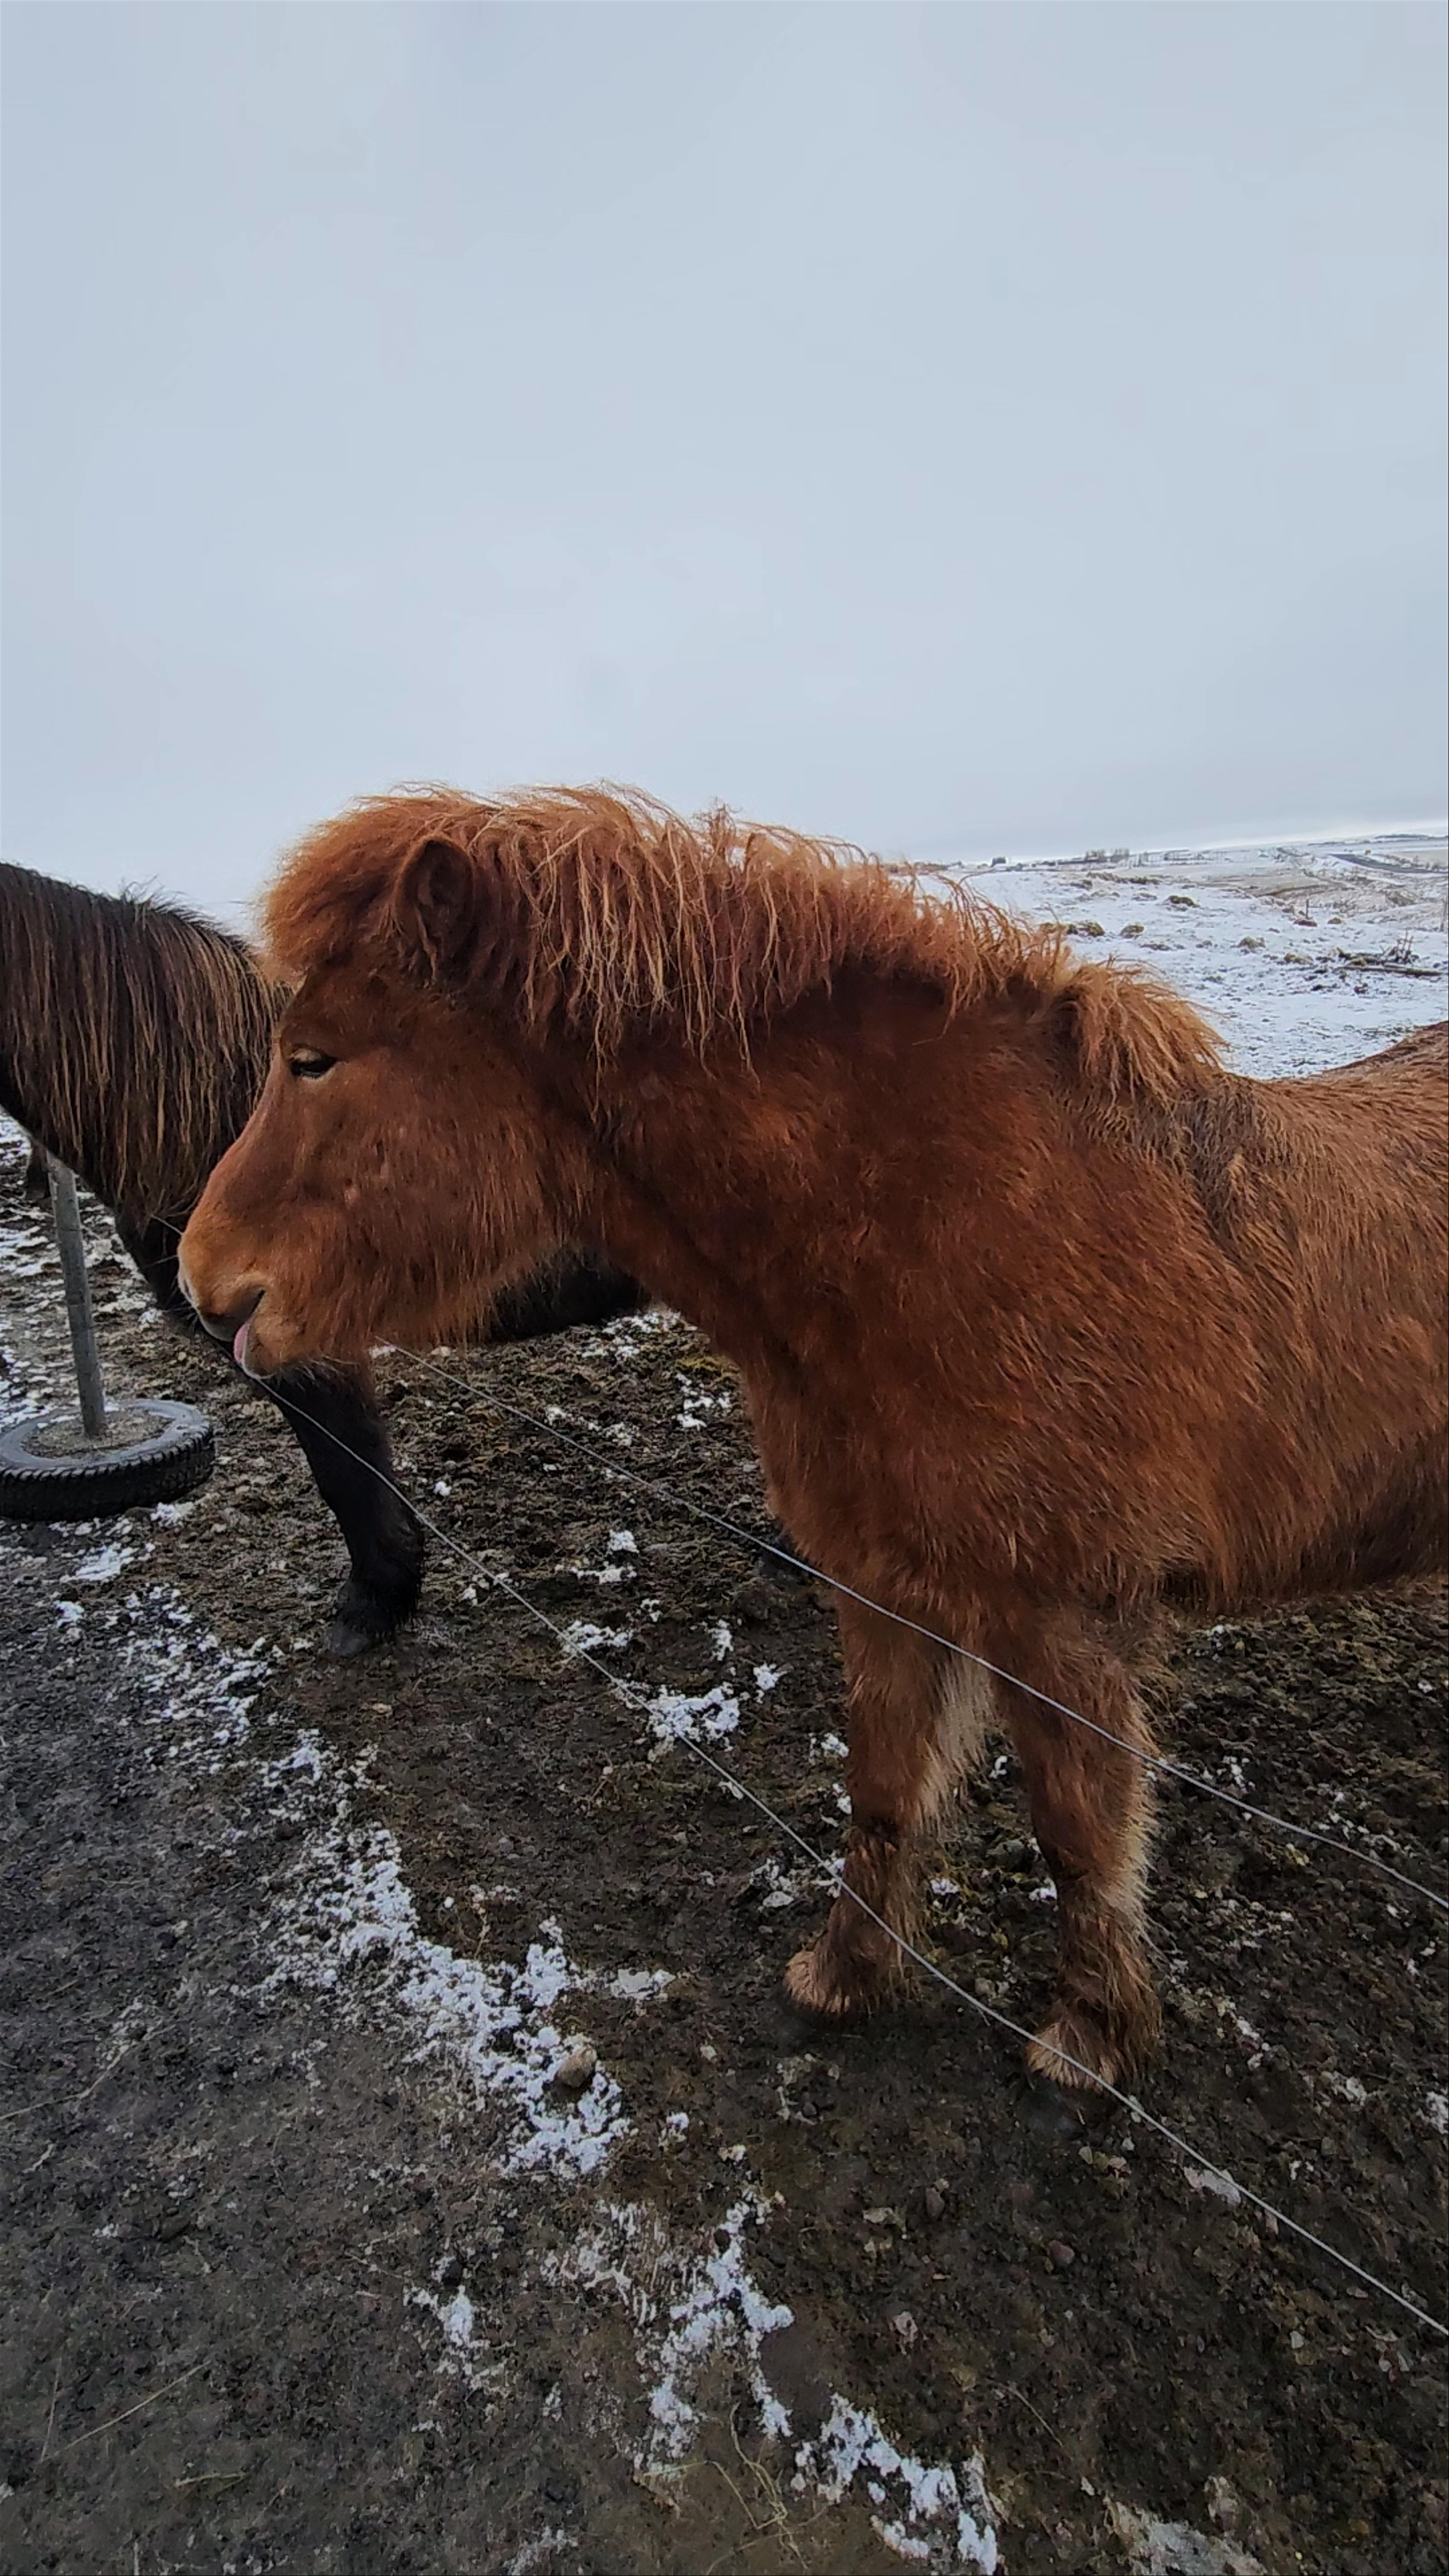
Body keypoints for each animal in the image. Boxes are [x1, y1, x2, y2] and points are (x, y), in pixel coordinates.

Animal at [176, 786, 1449, 2090]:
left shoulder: (1055, 1621)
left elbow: (1080, 1836)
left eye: (314, 1058)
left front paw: (1088, 2039)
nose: (202, 1276)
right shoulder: (883, 1585)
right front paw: (843, 1976)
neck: (952, 1233)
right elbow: (882, 1791)